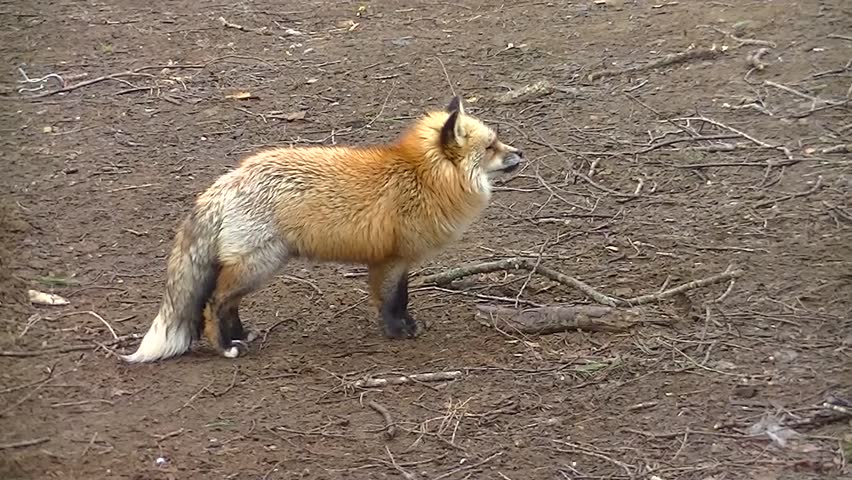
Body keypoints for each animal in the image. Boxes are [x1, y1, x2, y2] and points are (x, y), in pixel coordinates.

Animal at [120, 96, 523, 363]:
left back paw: (239, 335)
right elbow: (392, 301)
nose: (521, 153)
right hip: (260, 264)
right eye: (491, 147)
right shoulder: (389, 261)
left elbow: (402, 298)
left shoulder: (400, 260)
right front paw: (397, 332)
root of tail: (224, 182)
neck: (421, 178)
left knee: (226, 302)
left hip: (258, 265)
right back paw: (225, 346)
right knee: (215, 302)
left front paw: (405, 326)